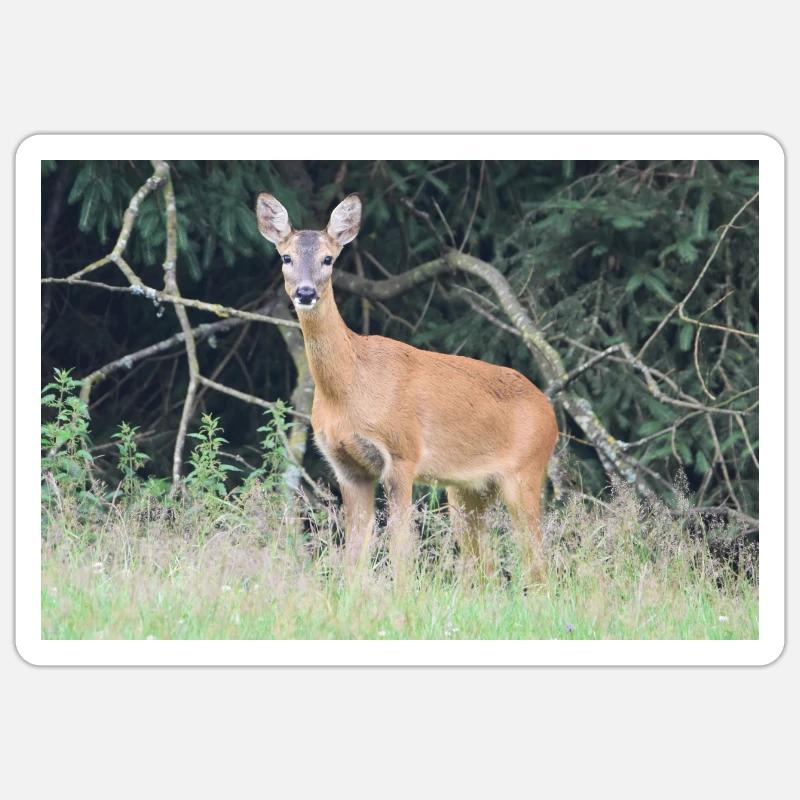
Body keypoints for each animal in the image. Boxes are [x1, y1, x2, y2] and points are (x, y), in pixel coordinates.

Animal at [255, 192, 558, 583]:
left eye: (328, 258)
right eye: (286, 257)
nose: (305, 292)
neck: (349, 391)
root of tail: (550, 411)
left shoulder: (402, 453)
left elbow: (402, 548)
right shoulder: (347, 467)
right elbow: (354, 552)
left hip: (525, 472)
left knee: (537, 563)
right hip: (466, 490)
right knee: (484, 566)